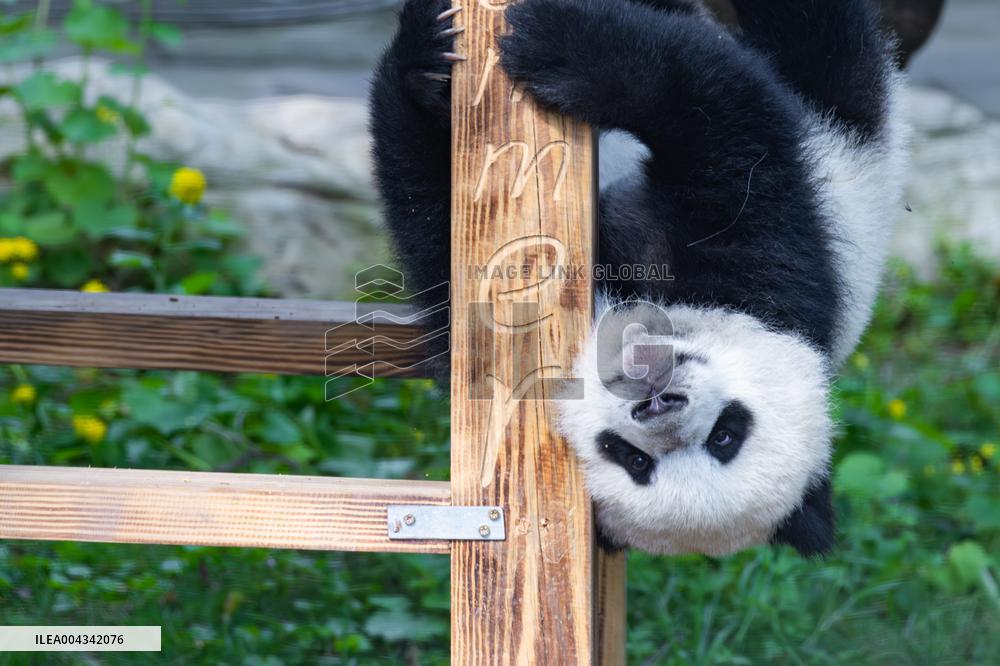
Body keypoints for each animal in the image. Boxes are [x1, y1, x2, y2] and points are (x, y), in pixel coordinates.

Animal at [369, 0, 909, 556]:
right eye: (729, 433)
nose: (655, 399)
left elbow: (723, 115)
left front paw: (557, 49)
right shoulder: (776, 279)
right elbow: (725, 130)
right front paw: (430, 60)